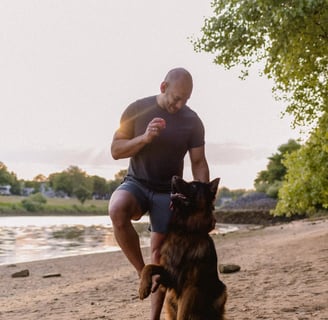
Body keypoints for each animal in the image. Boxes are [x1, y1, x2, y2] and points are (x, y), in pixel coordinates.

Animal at [138, 176, 226, 318]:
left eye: (194, 186)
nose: (173, 177)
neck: (185, 231)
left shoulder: (190, 287)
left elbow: (182, 314)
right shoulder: (169, 274)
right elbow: (149, 266)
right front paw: (143, 287)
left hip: (221, 291)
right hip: (169, 300)